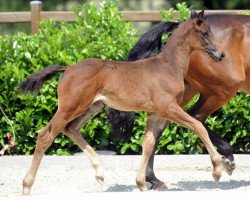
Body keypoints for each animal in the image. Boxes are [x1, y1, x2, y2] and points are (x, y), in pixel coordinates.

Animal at [19, 10, 225, 194]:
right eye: (205, 33)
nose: (221, 54)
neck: (169, 67)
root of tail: (68, 69)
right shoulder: (168, 108)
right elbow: (198, 126)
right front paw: (217, 169)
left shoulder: (154, 113)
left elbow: (148, 143)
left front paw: (141, 183)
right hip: (70, 107)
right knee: (45, 135)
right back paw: (27, 185)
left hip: (93, 107)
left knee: (71, 129)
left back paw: (100, 173)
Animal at [108, 11, 250, 190]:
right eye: (205, 33)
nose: (221, 54)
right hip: (223, 89)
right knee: (196, 117)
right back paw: (226, 159)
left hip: (183, 95)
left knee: (158, 131)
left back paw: (153, 179)